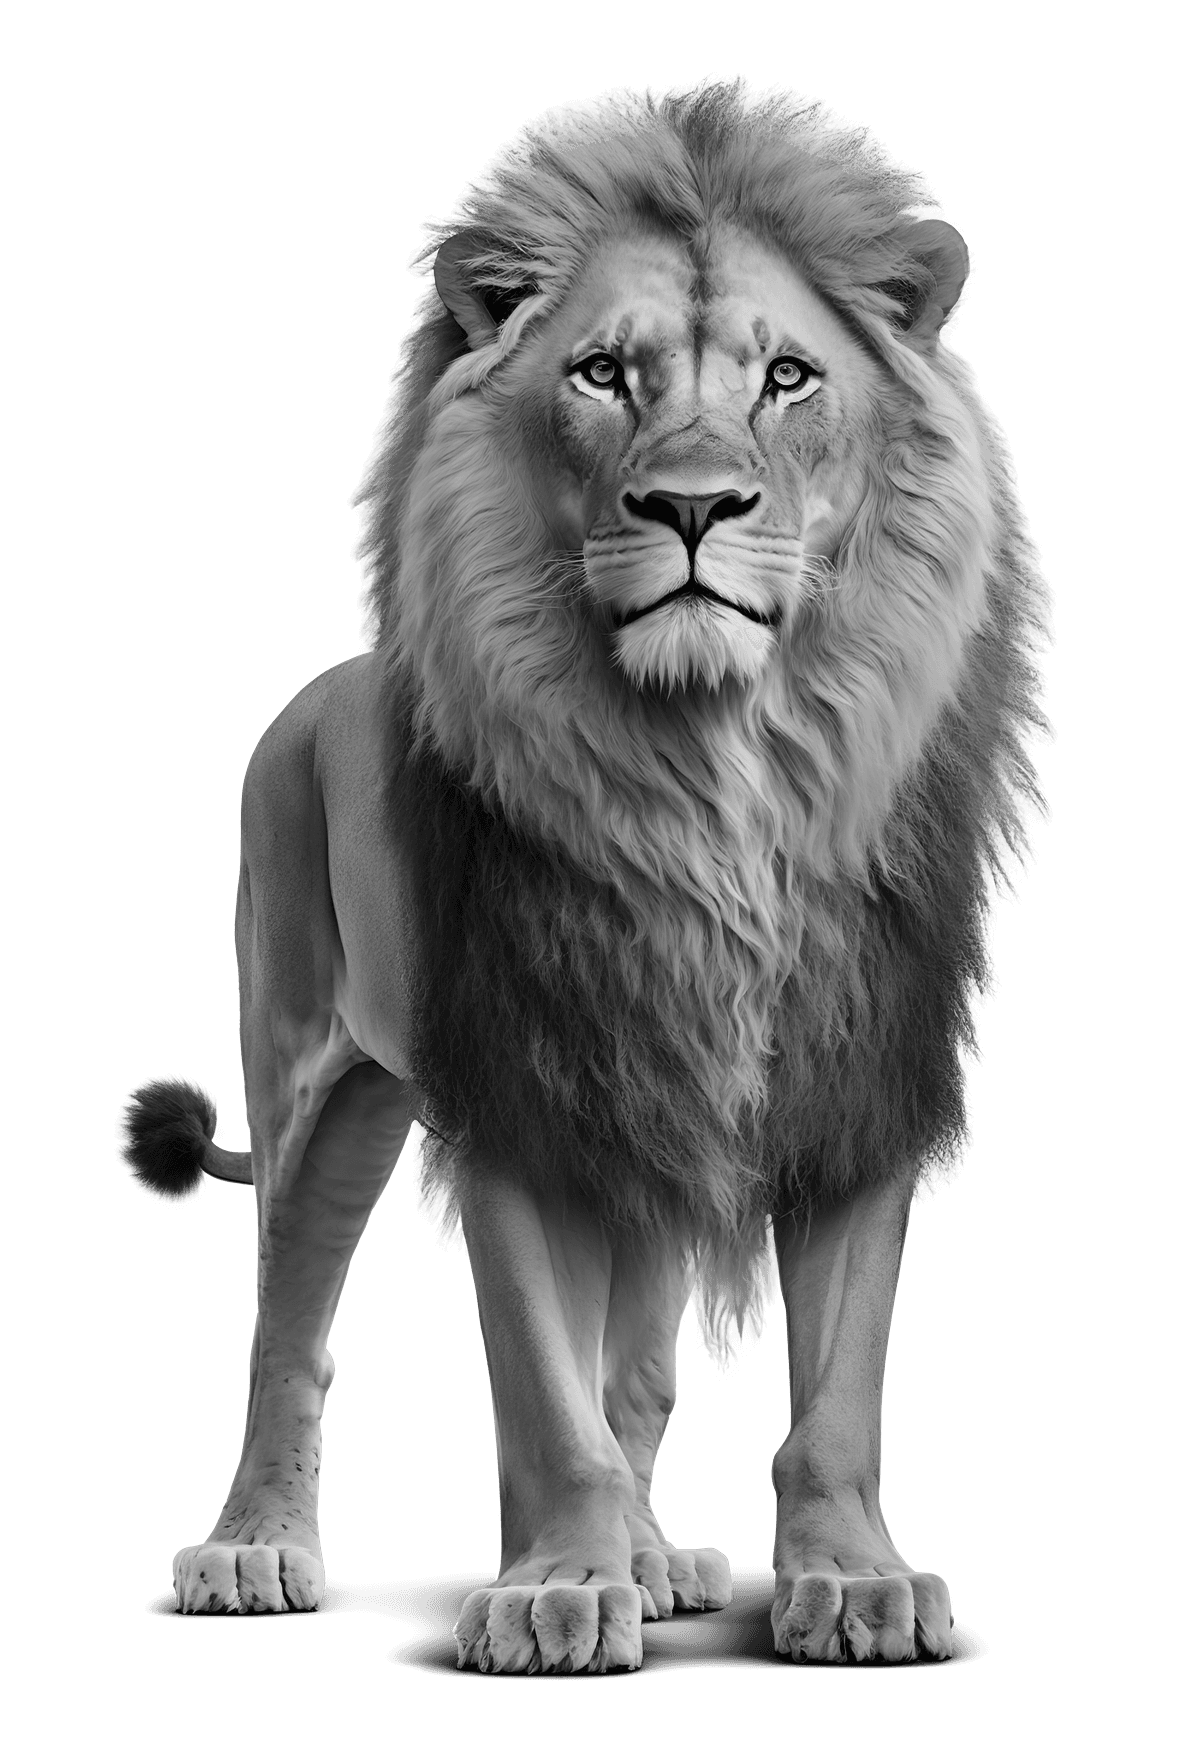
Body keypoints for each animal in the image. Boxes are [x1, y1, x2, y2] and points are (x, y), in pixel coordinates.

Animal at [115, 79, 1052, 1672]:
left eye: (789, 377)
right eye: (604, 374)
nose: (694, 507)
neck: (709, 772)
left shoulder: (849, 1070)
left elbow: (830, 1393)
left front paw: (854, 1582)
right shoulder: (522, 1089)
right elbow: (546, 1394)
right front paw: (556, 1588)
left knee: (638, 1373)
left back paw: (661, 1558)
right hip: (308, 1086)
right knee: (287, 1335)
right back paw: (255, 1547)